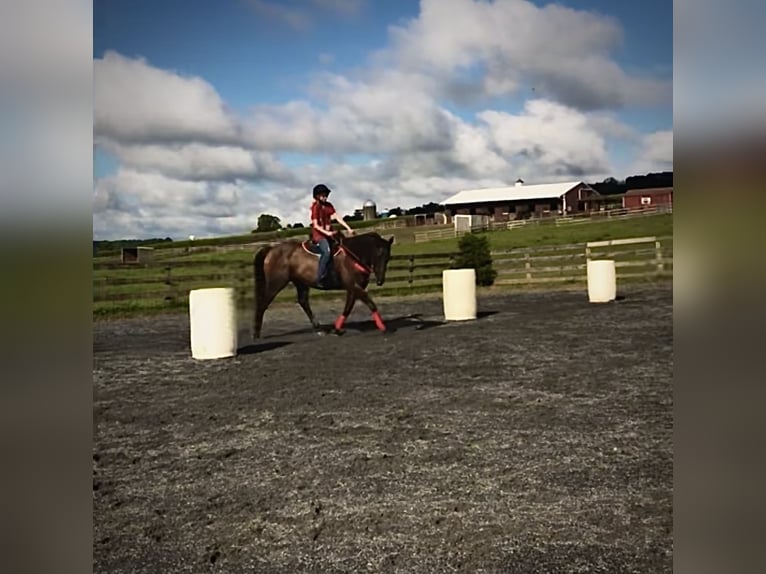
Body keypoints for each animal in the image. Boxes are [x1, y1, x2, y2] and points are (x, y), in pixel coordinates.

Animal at [254, 232, 396, 340]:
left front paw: (337, 328)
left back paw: (319, 328)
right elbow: (370, 303)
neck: (352, 255)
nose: (380, 281)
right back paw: (256, 334)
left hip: (301, 283)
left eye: (388, 257)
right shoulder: (354, 286)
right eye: (378, 254)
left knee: (303, 302)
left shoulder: (353, 288)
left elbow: (348, 308)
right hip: (276, 283)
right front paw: (383, 327)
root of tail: (271, 249)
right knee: (263, 303)